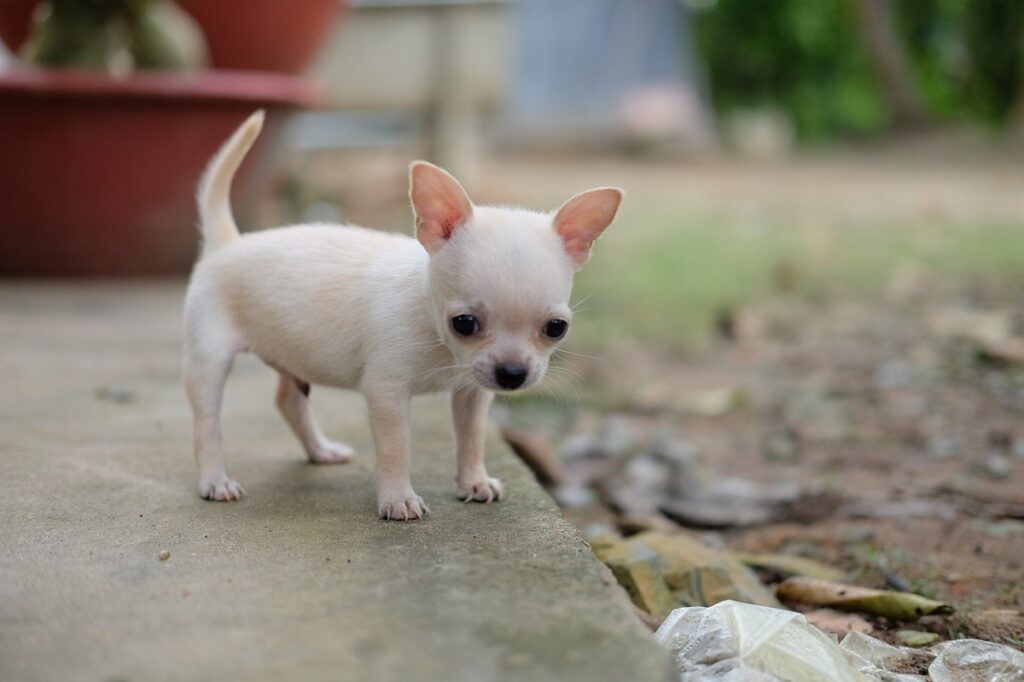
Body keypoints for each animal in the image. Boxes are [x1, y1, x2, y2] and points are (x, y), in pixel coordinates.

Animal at [182, 111, 622, 518]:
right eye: (464, 324)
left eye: (556, 328)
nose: (512, 375)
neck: (427, 317)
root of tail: (227, 243)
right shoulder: (387, 392)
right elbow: (397, 449)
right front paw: (398, 499)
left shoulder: (472, 392)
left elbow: (472, 437)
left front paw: (474, 481)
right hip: (210, 359)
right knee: (206, 423)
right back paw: (215, 480)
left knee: (289, 400)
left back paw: (320, 450)